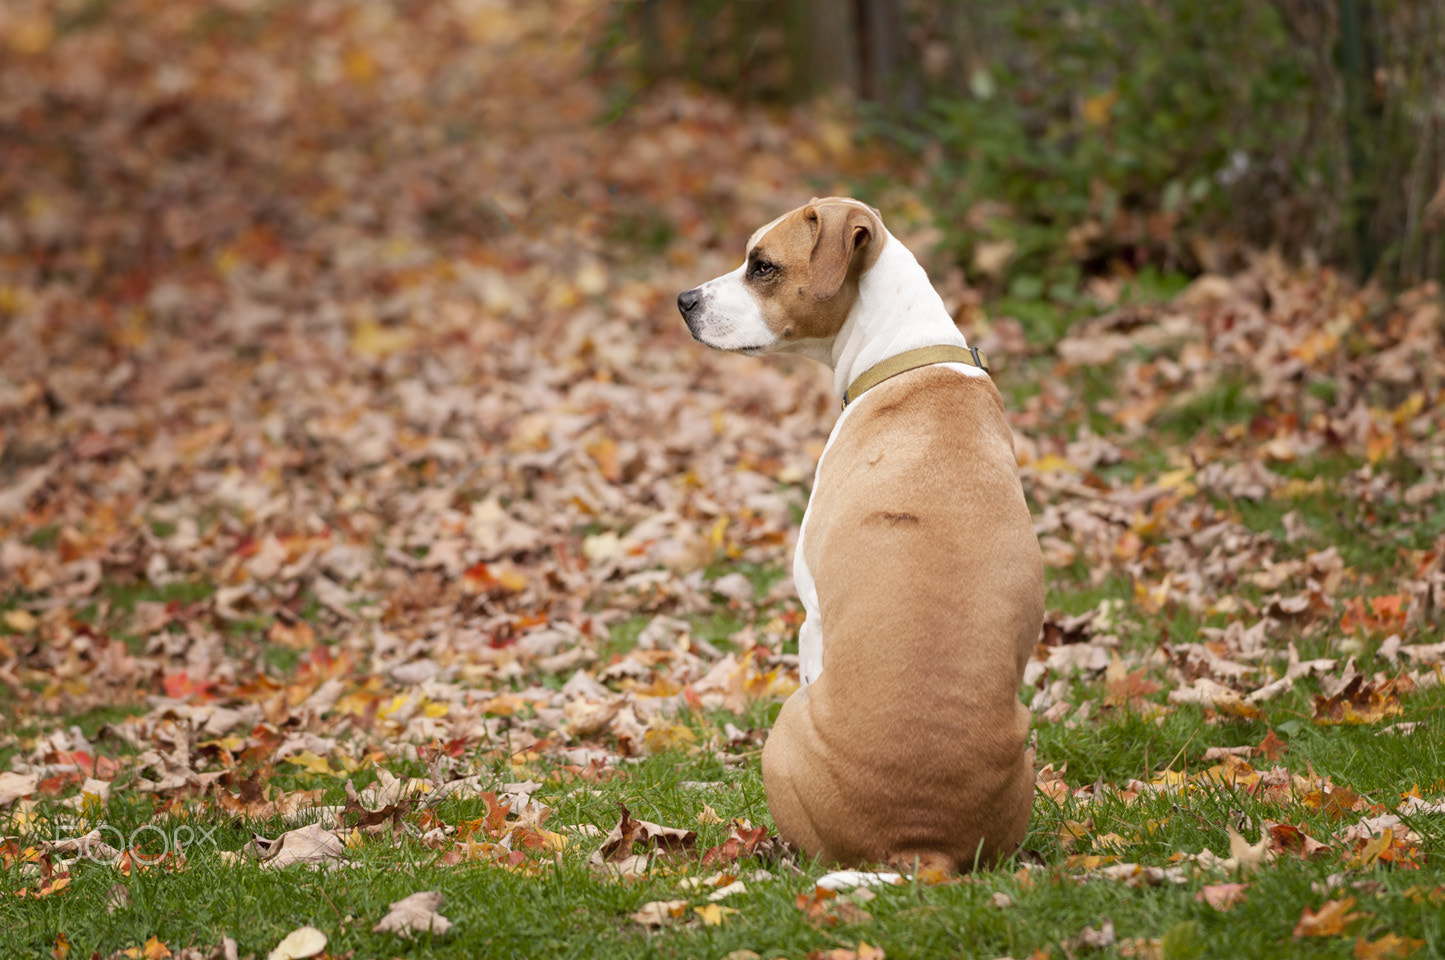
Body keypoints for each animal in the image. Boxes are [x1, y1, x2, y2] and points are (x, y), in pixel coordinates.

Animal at [676, 198, 1040, 873]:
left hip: (785, 729)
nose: (684, 300)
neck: (904, 356)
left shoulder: (812, 618)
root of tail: (921, 845)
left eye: (762, 265)